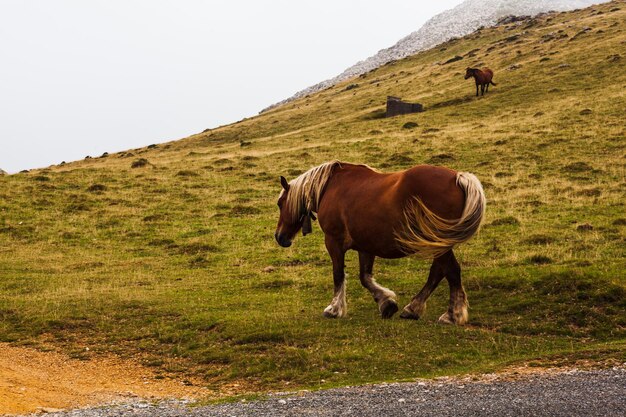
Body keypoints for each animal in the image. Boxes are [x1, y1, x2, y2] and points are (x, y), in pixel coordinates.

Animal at [272, 161, 482, 324]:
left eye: (280, 203)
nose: (280, 236)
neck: (329, 188)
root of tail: (458, 178)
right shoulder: (365, 246)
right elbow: (365, 277)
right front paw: (386, 303)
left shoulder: (333, 241)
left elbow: (338, 275)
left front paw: (334, 308)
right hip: (437, 244)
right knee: (439, 272)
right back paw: (413, 308)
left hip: (437, 243)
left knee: (450, 270)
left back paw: (452, 315)